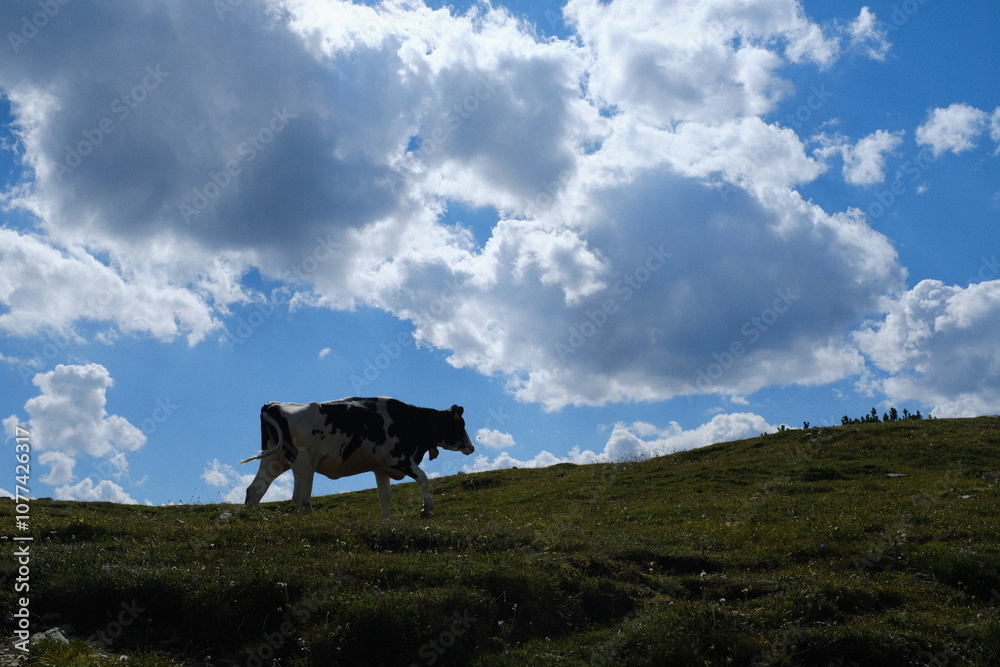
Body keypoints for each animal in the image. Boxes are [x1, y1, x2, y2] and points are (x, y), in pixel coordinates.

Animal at [240, 397, 475, 518]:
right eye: (459, 424)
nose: (471, 447)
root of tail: (273, 404)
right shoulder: (401, 459)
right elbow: (424, 480)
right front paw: (426, 509)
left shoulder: (381, 467)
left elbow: (384, 495)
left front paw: (386, 522)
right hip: (304, 462)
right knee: (301, 498)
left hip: (274, 460)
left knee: (255, 490)